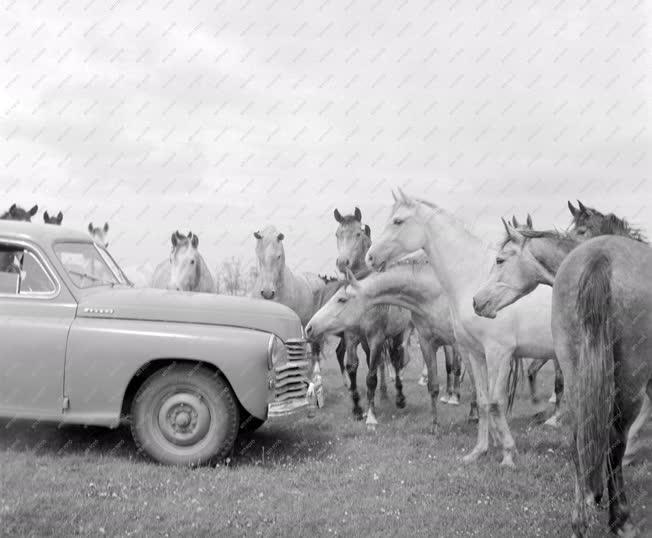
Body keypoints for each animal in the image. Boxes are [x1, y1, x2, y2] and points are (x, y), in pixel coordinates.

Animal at [366, 189, 560, 464]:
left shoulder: (499, 353)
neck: (472, 277)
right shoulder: (474, 352)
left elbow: (496, 401)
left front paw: (507, 453)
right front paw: (480, 450)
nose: (370, 257)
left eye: (398, 221)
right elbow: (483, 400)